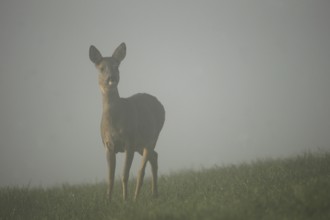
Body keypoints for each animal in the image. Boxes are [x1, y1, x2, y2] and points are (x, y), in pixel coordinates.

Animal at [89, 42, 165, 201]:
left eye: (116, 66)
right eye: (101, 68)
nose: (111, 77)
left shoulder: (129, 142)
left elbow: (124, 175)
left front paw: (125, 200)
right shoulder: (108, 145)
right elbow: (110, 178)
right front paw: (108, 200)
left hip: (151, 138)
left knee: (142, 169)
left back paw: (137, 198)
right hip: (140, 145)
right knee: (154, 156)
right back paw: (154, 194)